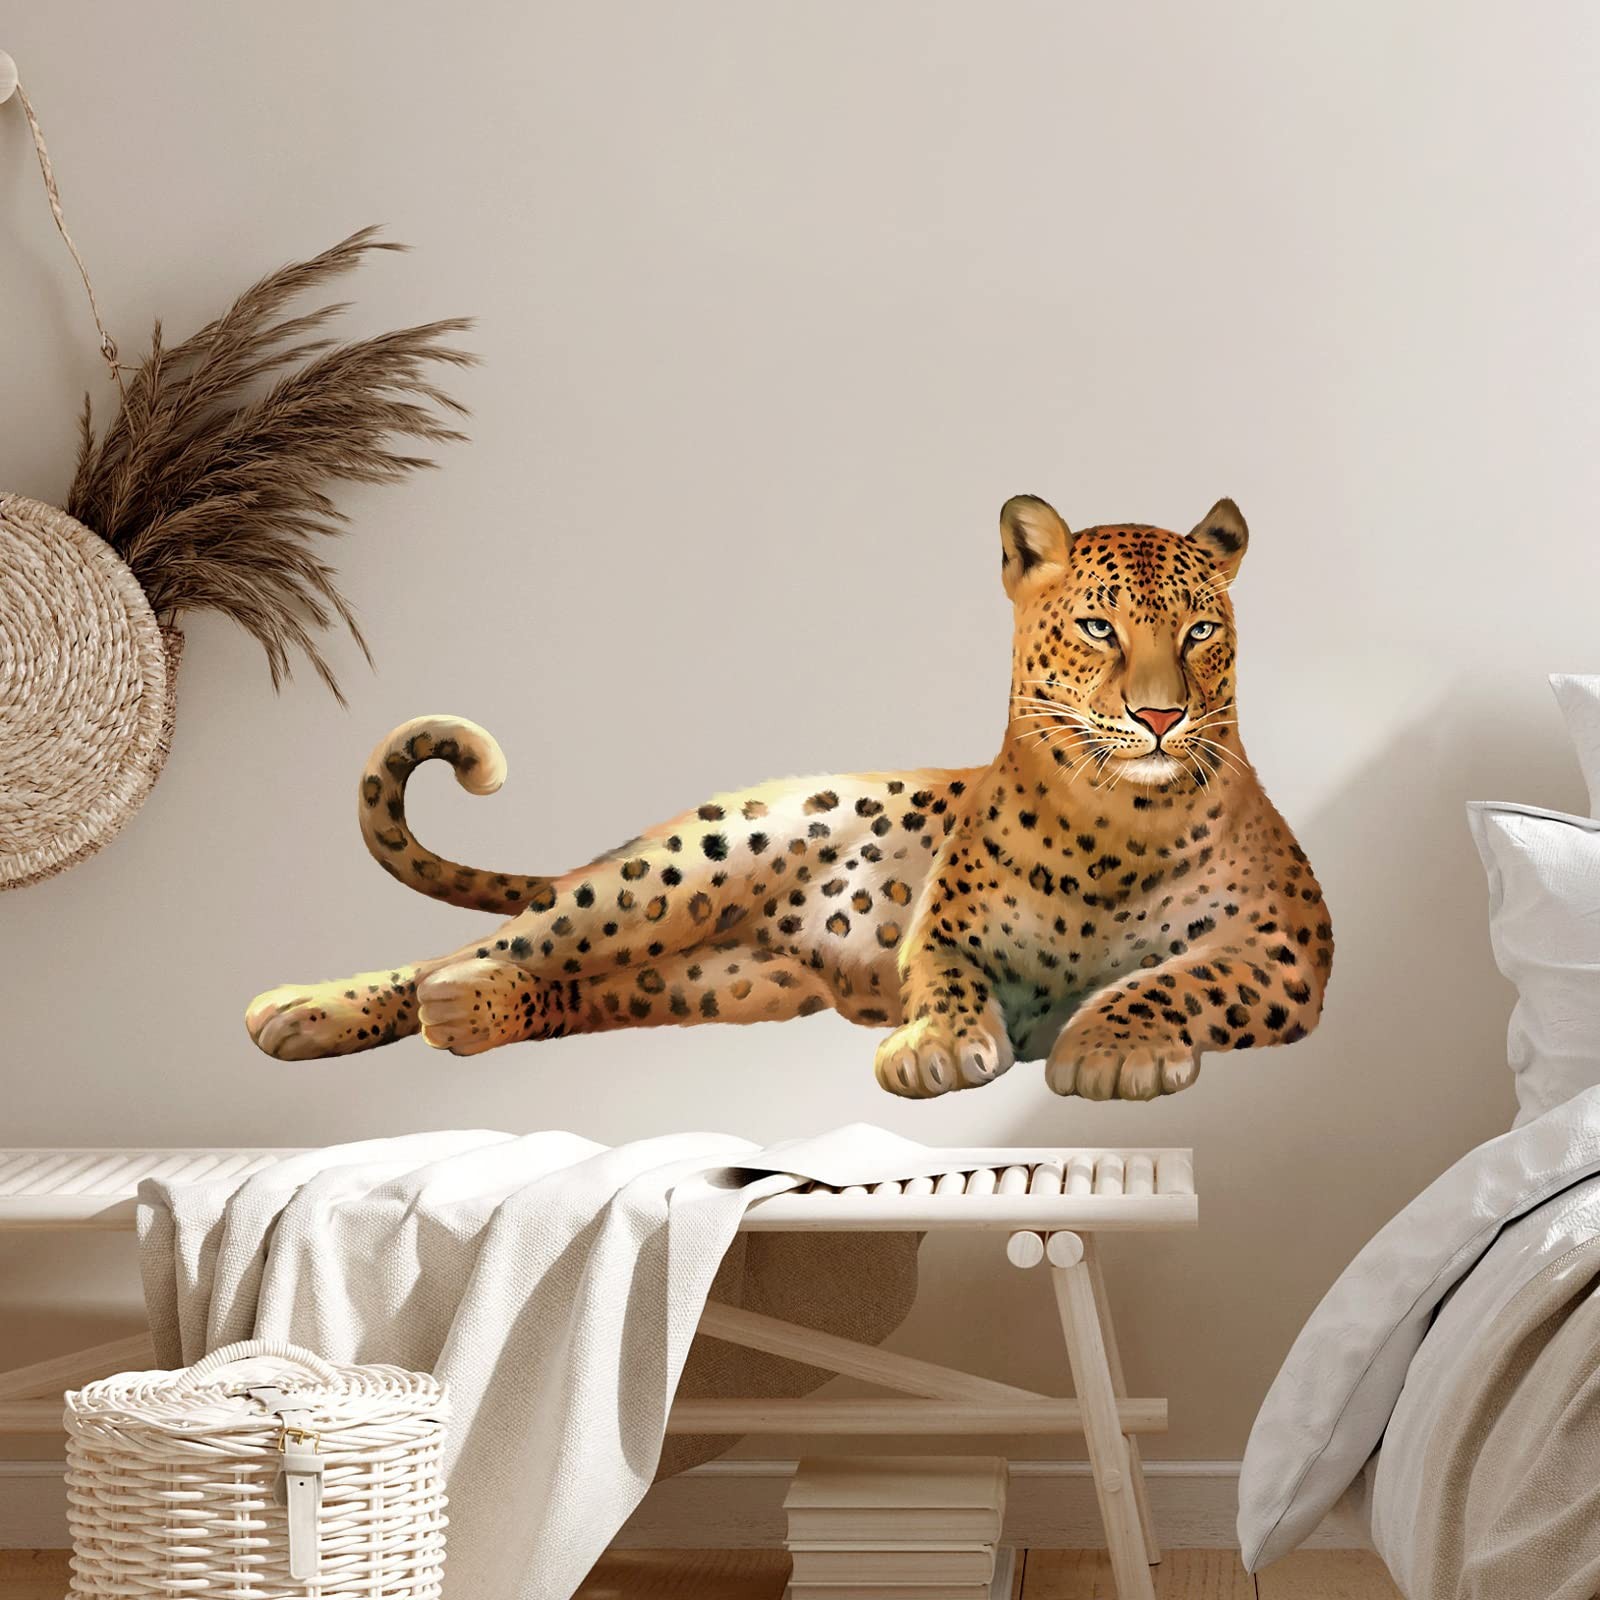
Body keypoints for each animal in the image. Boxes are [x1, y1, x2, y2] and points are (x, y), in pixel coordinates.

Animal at [246, 493, 1332, 1100]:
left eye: (1200, 630)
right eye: (1100, 627)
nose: (1159, 717)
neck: (1115, 822)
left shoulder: (1283, 949)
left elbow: (1170, 979)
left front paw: (1106, 1047)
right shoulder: (940, 936)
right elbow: (946, 982)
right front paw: (938, 1046)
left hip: (726, 981)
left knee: (567, 984)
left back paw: (470, 1010)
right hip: (673, 877)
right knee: (502, 937)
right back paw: (307, 1007)